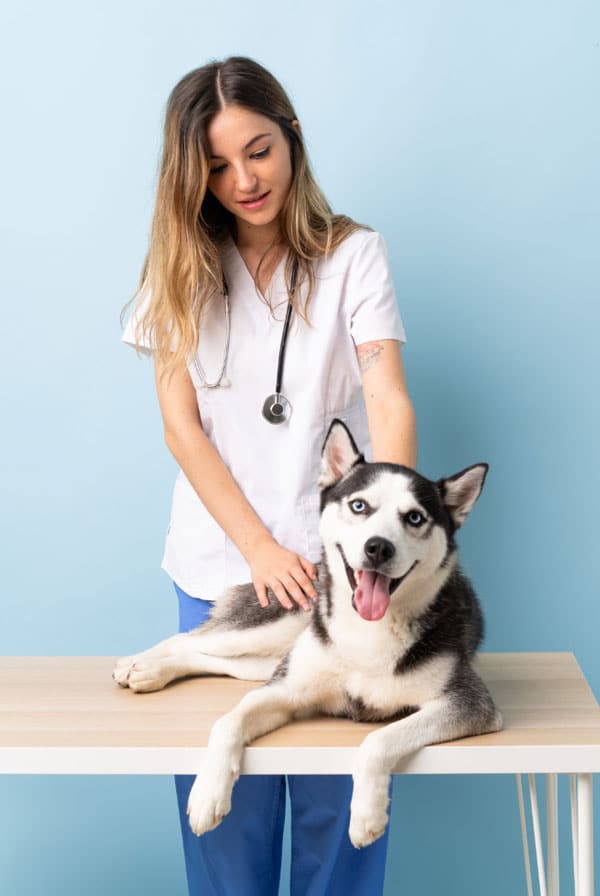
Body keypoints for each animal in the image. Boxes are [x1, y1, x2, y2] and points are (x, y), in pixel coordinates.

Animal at [112, 418, 502, 848]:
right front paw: (208, 794)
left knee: (209, 657)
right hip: (277, 625)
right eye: (359, 505)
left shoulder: (468, 704)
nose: (378, 548)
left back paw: (152, 671)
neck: (368, 630)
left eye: (415, 518)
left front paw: (366, 815)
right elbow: (227, 721)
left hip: (263, 659)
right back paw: (139, 664)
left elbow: (378, 740)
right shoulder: (288, 690)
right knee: (191, 638)